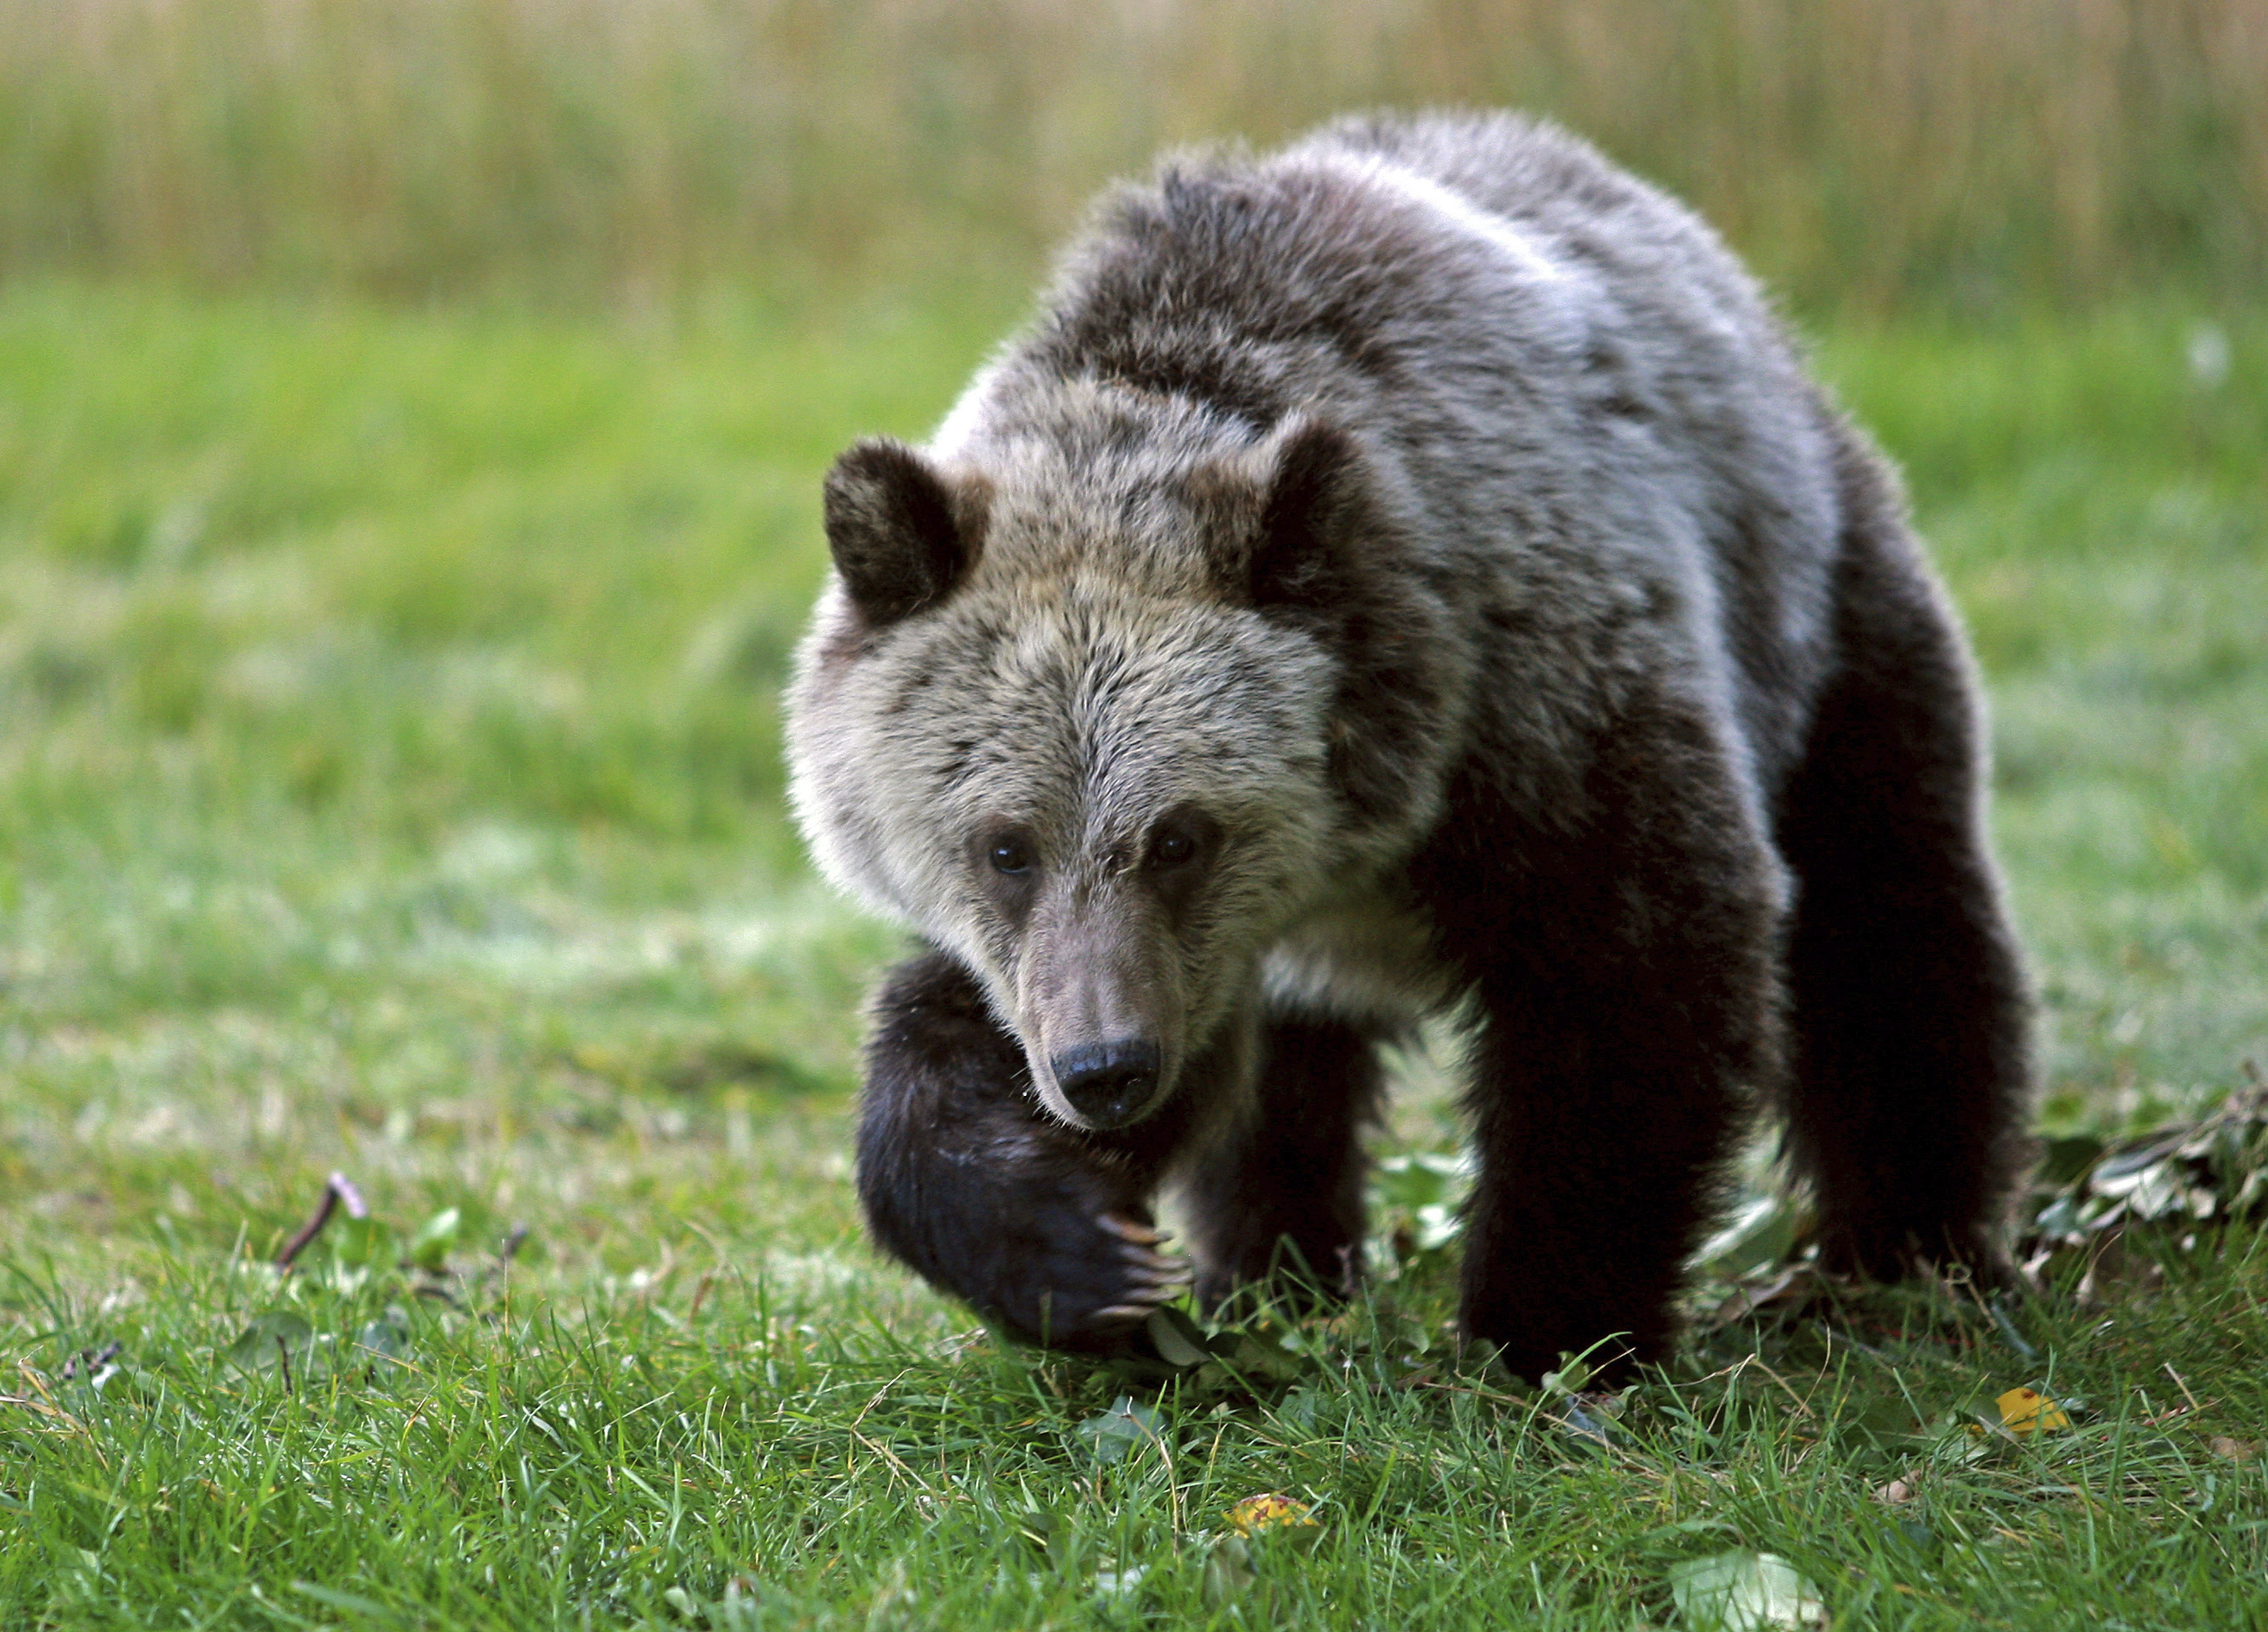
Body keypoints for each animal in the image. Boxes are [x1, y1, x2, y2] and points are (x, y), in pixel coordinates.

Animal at [784, 110, 2033, 1382]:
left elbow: (1632, 984)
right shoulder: (1162, 956)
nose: (1103, 1071)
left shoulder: (1550, 709)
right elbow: (989, 1035)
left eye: (1180, 836)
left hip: (1813, 617)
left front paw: (1546, 1335)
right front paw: (1062, 1240)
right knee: (1291, 1088)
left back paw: (1906, 1251)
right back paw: (1272, 1268)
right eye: (1004, 846)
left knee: (1889, 926)